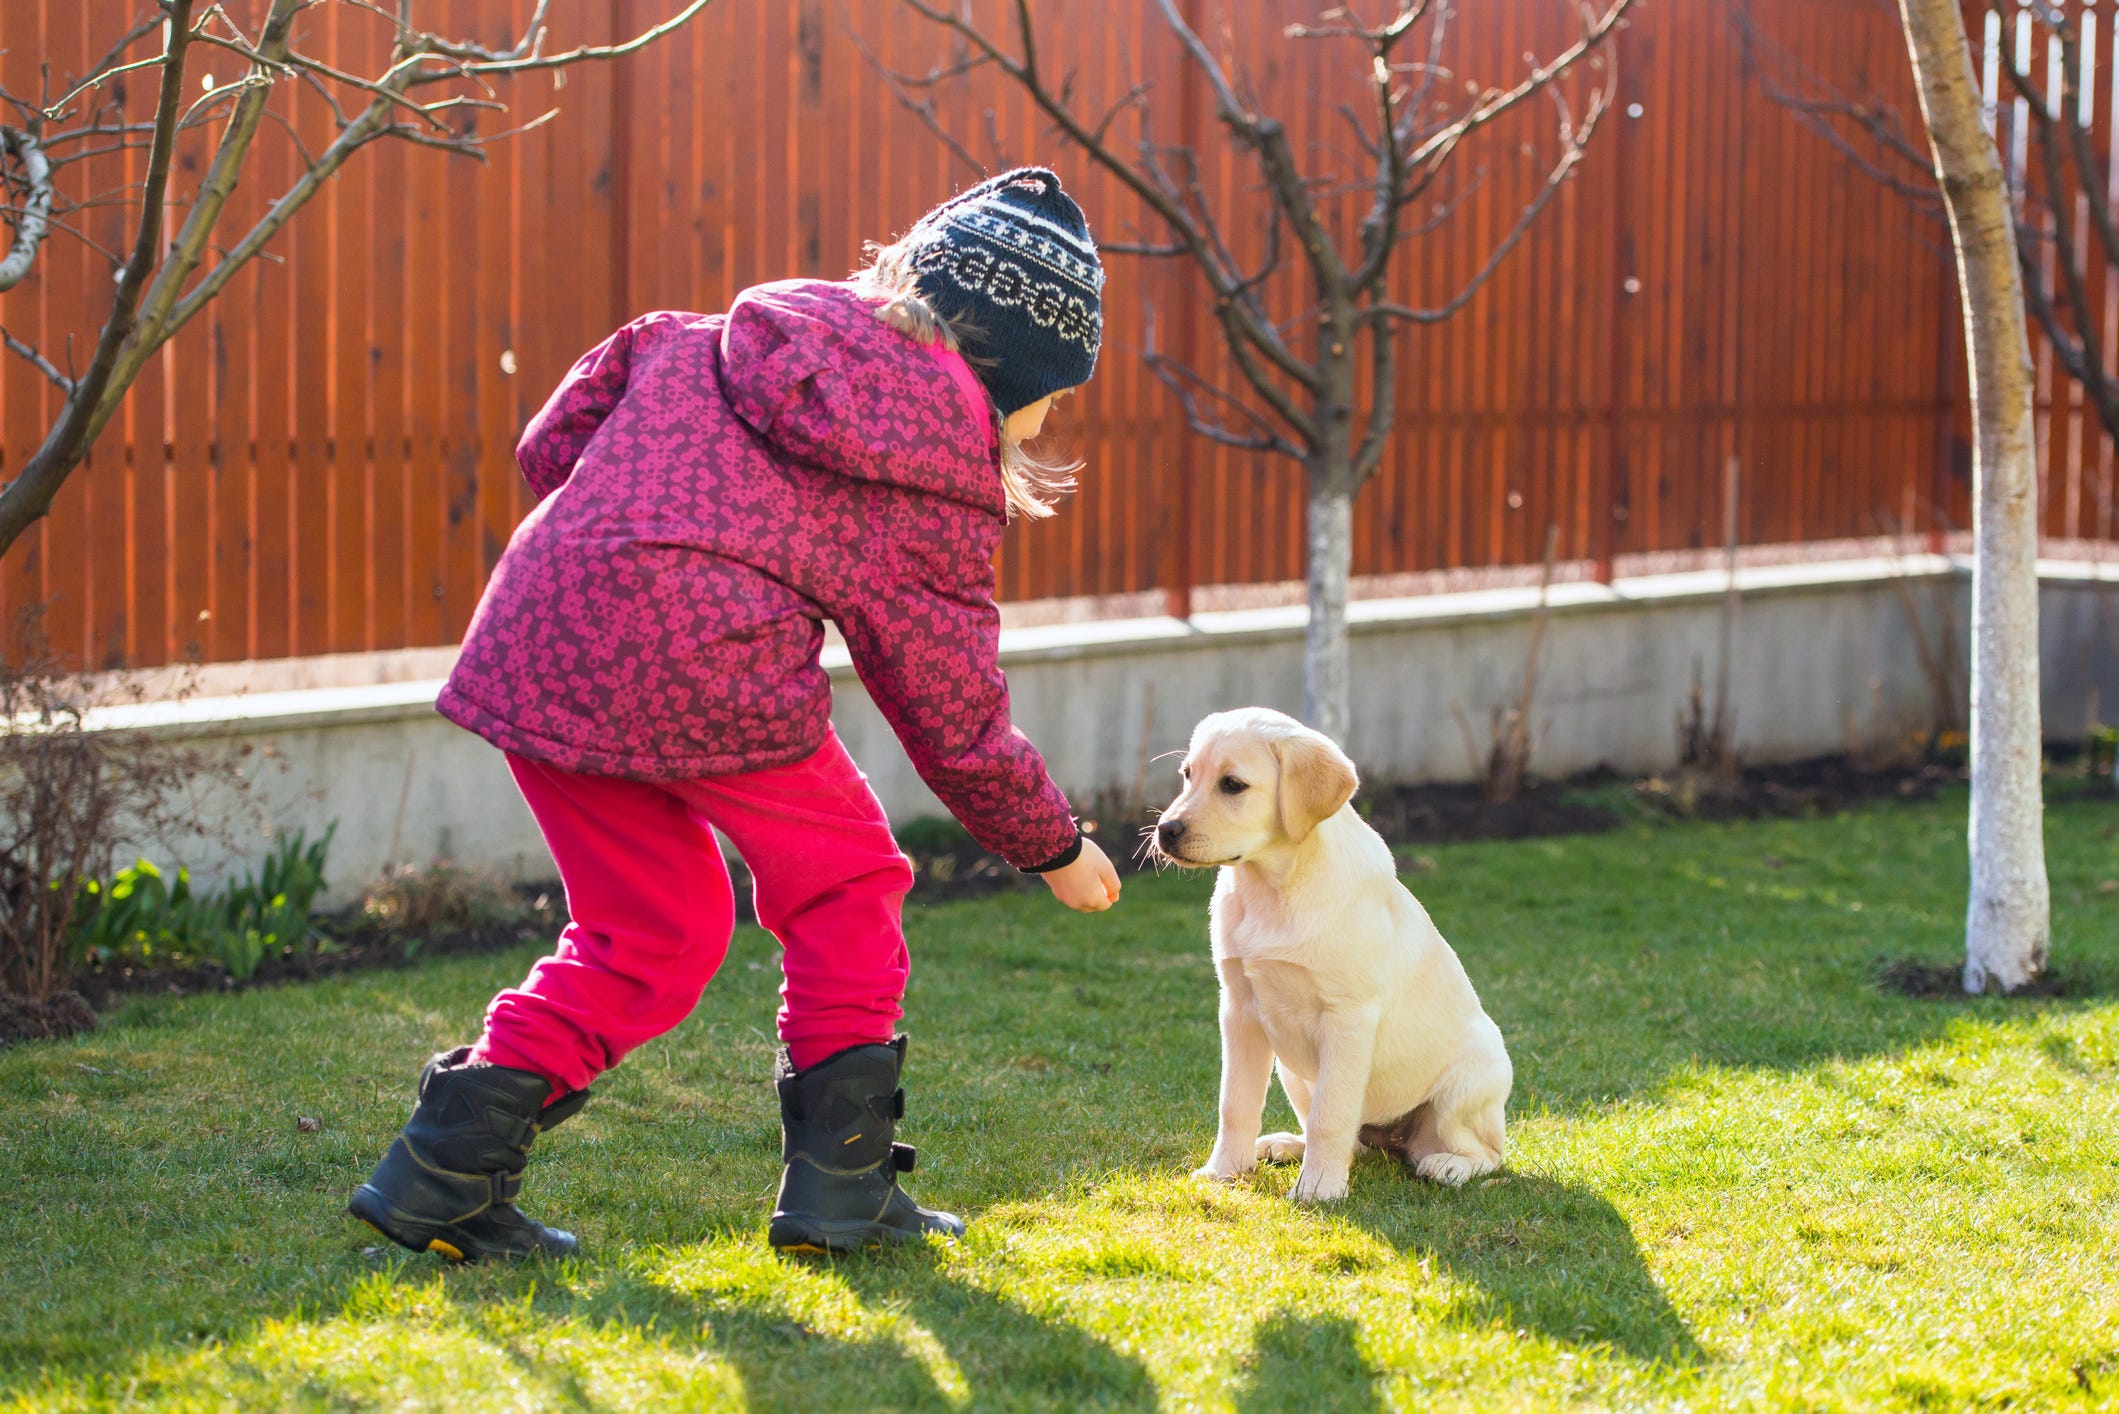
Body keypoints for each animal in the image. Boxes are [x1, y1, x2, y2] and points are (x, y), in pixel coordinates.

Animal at [1152, 708, 1517, 1204]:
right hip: (1291, 1069)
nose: (1165, 831)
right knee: (1352, 1143)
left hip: (1467, 1083)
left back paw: (1448, 1166)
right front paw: (1224, 1171)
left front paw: (1319, 1190)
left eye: (1232, 785)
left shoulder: (1347, 1019)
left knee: (1481, 1152)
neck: (1274, 888)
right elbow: (1236, 1103)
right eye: (1188, 775)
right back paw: (1287, 1145)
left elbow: (1331, 1114)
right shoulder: (1240, 1011)